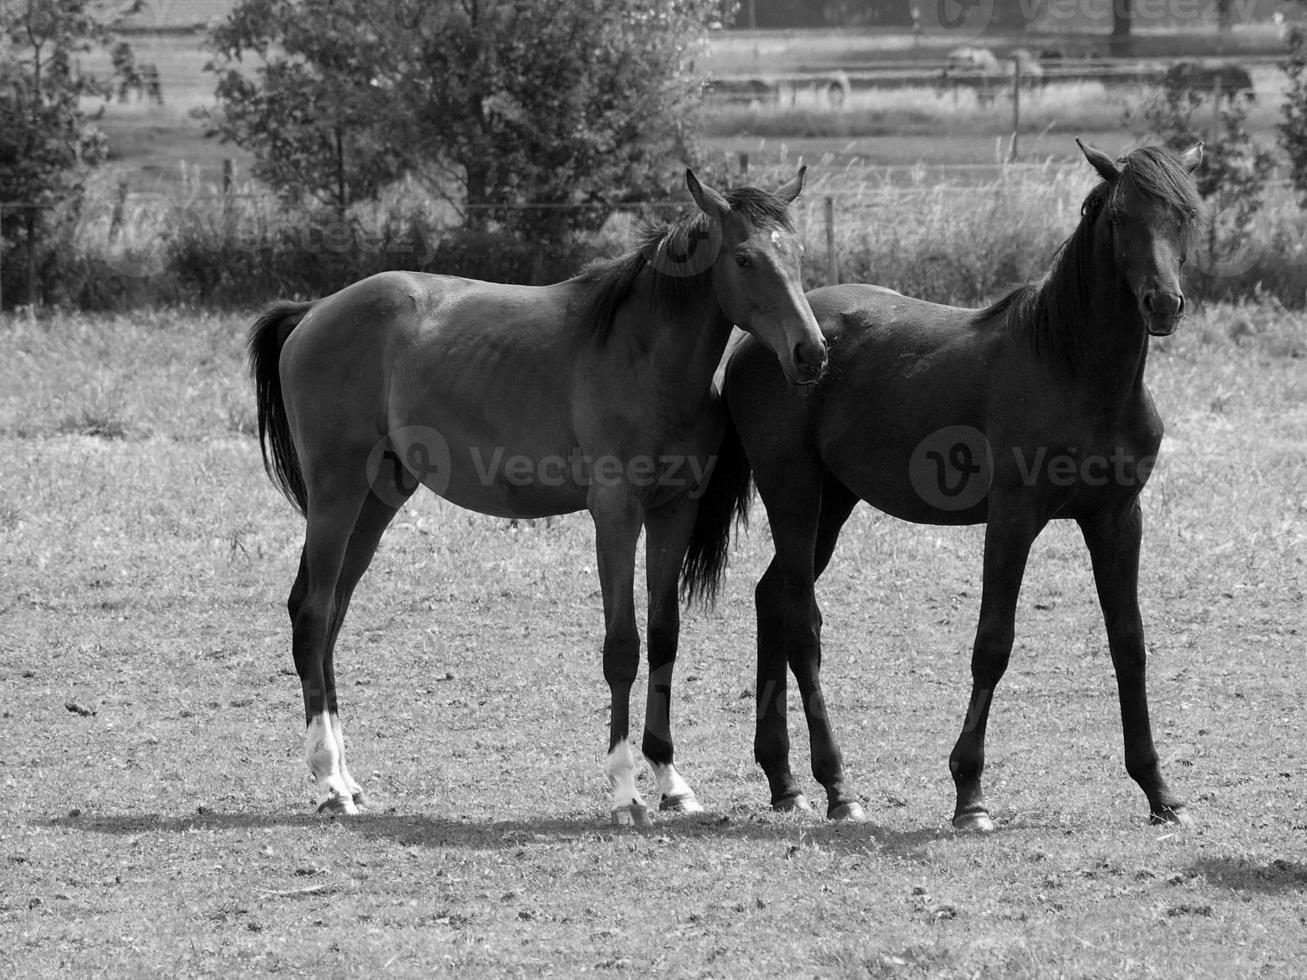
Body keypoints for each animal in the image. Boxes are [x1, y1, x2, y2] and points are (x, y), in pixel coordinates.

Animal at [247, 171, 826, 831]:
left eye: (797, 254)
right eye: (745, 258)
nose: (811, 353)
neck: (640, 353)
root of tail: (313, 312)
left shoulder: (673, 511)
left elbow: (663, 637)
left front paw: (671, 780)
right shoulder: (617, 514)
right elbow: (622, 647)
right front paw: (625, 791)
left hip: (377, 499)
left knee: (331, 616)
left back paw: (346, 777)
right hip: (337, 493)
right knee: (314, 615)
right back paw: (329, 783)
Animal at [684, 139, 1202, 831]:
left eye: (1185, 215)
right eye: (1120, 218)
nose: (1162, 304)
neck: (1075, 371)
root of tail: (770, 344)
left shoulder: (1118, 517)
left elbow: (1129, 643)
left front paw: (1159, 790)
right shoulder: (1013, 518)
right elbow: (993, 643)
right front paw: (969, 794)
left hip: (834, 503)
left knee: (772, 598)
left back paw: (785, 781)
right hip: (792, 492)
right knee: (800, 621)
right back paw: (838, 788)